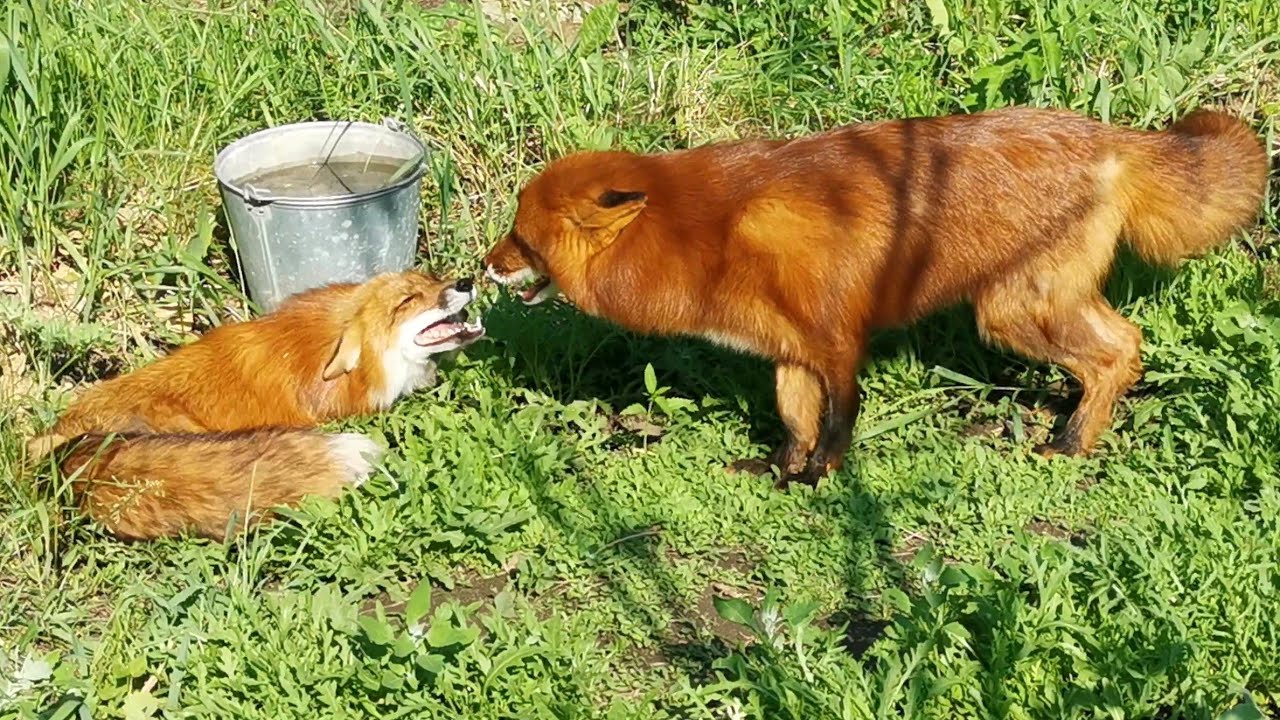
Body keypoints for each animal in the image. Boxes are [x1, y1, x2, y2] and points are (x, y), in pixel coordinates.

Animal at [482, 106, 1269, 488]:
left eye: (521, 239)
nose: (479, 270)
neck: (706, 235)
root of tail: (1106, 134)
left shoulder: (835, 339)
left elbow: (837, 422)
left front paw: (821, 479)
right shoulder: (788, 351)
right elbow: (793, 421)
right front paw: (780, 473)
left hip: (1011, 312)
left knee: (1117, 353)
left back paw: (1072, 445)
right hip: (1036, 305)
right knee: (1129, 345)